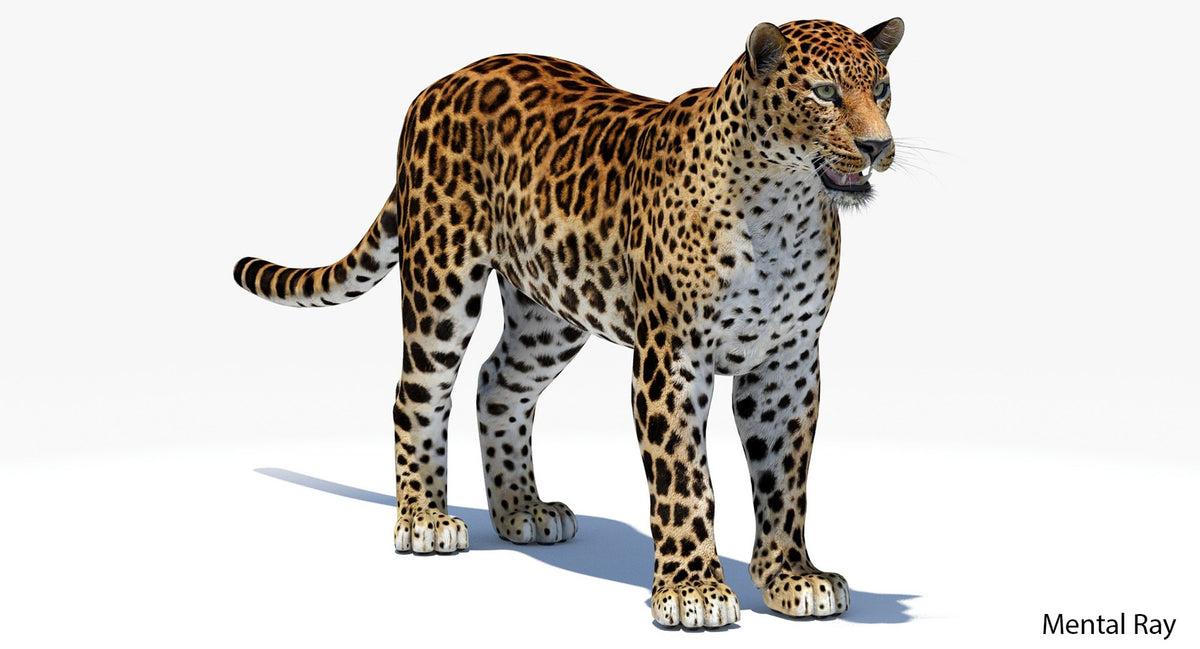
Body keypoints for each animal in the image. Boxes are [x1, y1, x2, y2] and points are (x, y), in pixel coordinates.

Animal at [233, 17, 904, 628]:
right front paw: (691, 590)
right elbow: (684, 478)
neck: (784, 210)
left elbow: (784, 477)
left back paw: (522, 510)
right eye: (824, 93)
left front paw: (793, 576)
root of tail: (440, 82)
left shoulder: (788, 364)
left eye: (883, 88)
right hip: (442, 280)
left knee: (497, 384)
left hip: (550, 308)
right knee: (418, 393)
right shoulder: (672, 358)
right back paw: (424, 519)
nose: (877, 146)